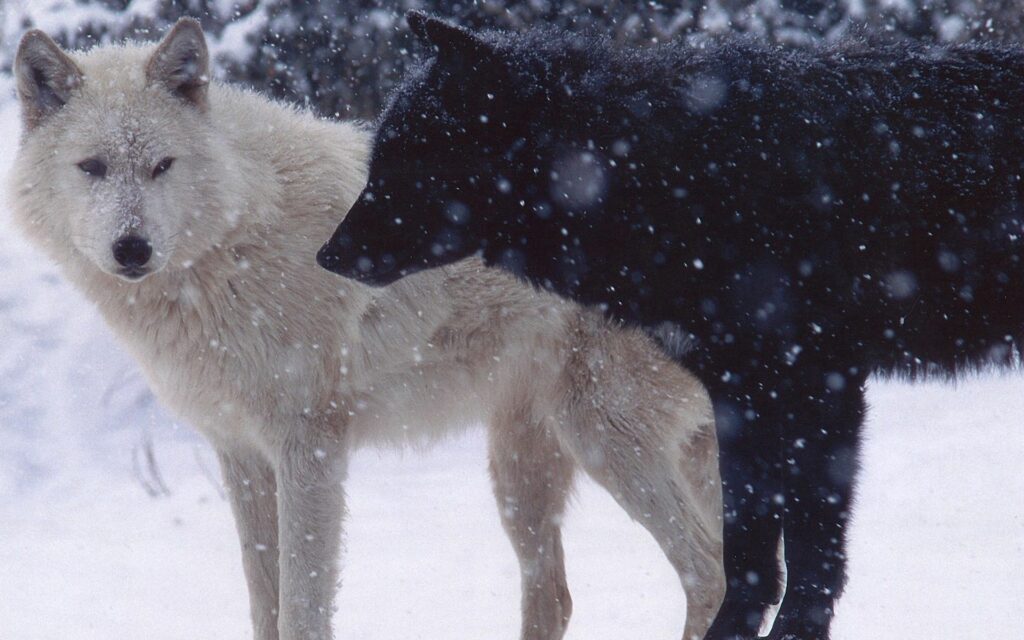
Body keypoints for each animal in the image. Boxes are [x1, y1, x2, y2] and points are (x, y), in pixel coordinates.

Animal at [10, 17, 726, 640]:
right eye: (92, 167)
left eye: (161, 165)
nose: (132, 249)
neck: (235, 240)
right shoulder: (240, 452)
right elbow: (263, 605)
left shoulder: (310, 448)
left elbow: (301, 610)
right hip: (525, 470)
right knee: (560, 596)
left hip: (602, 437)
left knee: (709, 577)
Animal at [319, 12, 1024, 640]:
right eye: (379, 157)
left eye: (407, 160)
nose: (325, 256)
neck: (674, 173)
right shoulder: (742, 395)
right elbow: (748, 557)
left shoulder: (817, 386)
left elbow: (811, 558)